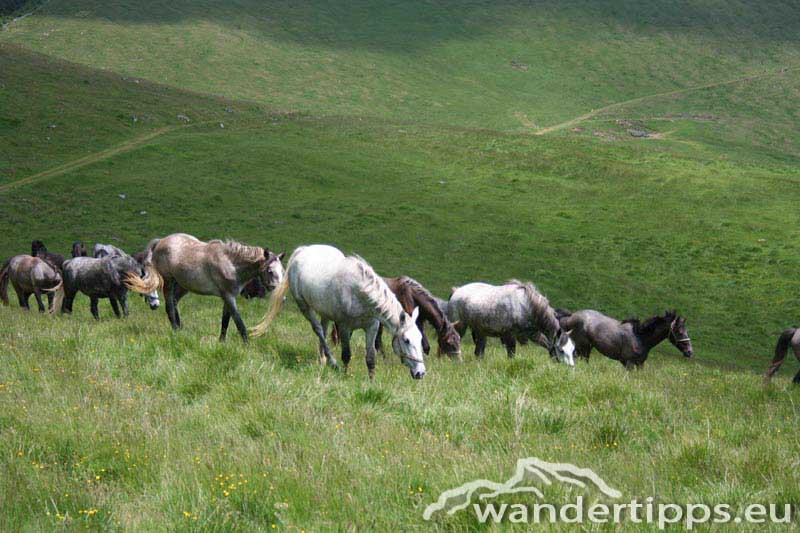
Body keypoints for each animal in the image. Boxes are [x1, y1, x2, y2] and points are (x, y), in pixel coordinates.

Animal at [126, 233, 286, 340]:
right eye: (270, 271)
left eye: (282, 271)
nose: (282, 299)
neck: (231, 264)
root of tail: (160, 241)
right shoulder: (228, 297)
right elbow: (239, 322)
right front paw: (246, 344)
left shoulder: (228, 297)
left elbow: (225, 321)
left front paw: (221, 342)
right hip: (169, 283)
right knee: (170, 307)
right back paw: (176, 330)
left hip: (183, 285)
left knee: (175, 302)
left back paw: (181, 328)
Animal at [252, 244, 428, 378]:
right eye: (406, 340)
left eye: (420, 338)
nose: (420, 373)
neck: (359, 291)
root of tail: (302, 250)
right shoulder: (344, 326)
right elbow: (346, 354)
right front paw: (345, 375)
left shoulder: (371, 327)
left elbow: (370, 358)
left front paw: (371, 381)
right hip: (304, 306)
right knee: (318, 330)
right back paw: (332, 362)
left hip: (324, 312)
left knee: (323, 330)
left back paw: (322, 360)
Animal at [444, 280, 576, 364]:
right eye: (561, 350)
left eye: (572, 349)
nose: (570, 367)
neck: (526, 304)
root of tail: (456, 290)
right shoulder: (510, 335)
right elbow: (511, 355)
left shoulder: (533, 335)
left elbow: (548, 345)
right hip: (460, 326)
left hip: (480, 332)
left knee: (478, 353)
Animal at [556, 310, 692, 368]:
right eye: (679, 332)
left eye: (687, 331)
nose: (690, 352)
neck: (641, 337)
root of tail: (570, 316)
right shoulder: (629, 363)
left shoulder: (640, 364)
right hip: (583, 348)